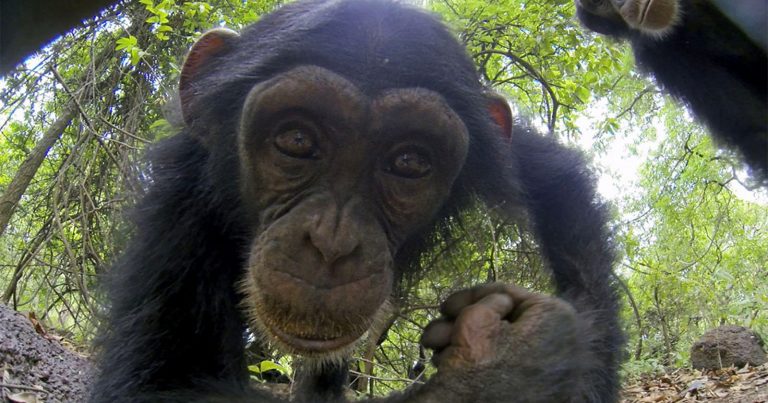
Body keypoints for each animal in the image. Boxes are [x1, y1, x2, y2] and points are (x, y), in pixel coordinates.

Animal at [91, 0, 624, 402]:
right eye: (297, 139)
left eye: (409, 162)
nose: (332, 242)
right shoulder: (181, 202)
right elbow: (163, 382)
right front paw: (502, 366)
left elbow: (560, 187)